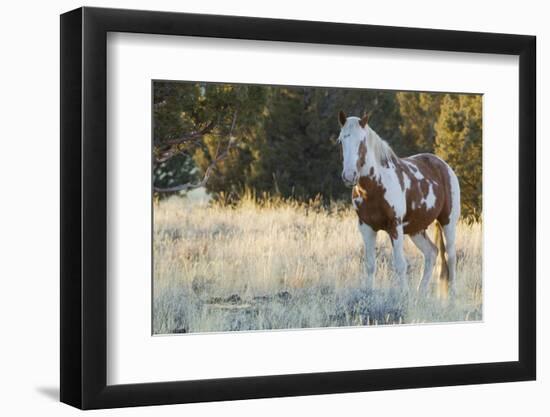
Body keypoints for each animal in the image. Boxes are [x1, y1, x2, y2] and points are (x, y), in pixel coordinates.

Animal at [338, 110, 464, 296]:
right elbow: (370, 265)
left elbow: (400, 265)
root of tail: (443, 166)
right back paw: (420, 294)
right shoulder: (366, 228)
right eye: (341, 140)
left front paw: (403, 295)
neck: (375, 186)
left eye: (362, 141)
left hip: (448, 221)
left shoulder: (395, 226)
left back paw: (453, 295)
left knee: (451, 256)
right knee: (431, 253)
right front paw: (368, 294)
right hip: (416, 229)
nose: (348, 175)